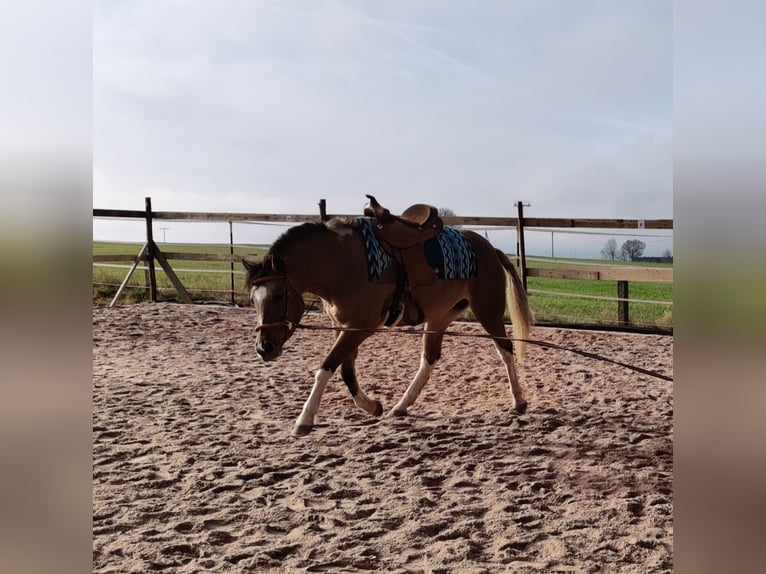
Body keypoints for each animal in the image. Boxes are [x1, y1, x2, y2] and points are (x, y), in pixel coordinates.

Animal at [243, 206, 533, 436]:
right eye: (253, 299)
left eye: (279, 295)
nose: (264, 348)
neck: (340, 262)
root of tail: (490, 249)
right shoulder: (343, 326)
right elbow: (346, 371)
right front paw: (373, 406)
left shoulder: (361, 326)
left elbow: (326, 367)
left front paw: (304, 419)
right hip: (439, 317)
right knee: (429, 359)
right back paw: (401, 406)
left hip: (488, 312)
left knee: (506, 350)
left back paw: (519, 400)